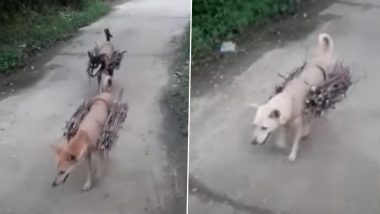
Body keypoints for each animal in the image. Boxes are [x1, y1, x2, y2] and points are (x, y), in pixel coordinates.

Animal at [251, 32, 334, 161]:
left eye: (264, 128)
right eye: (255, 125)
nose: (253, 143)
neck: (288, 98)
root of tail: (322, 58)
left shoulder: (298, 125)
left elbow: (295, 142)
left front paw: (292, 154)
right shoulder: (283, 122)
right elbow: (281, 138)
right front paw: (281, 144)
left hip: (322, 93)